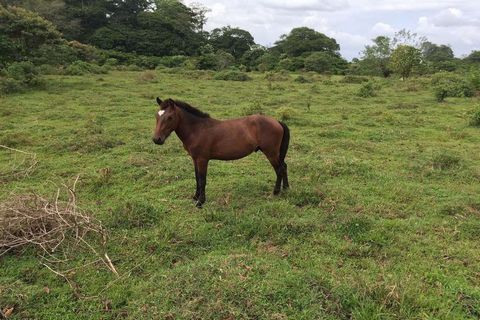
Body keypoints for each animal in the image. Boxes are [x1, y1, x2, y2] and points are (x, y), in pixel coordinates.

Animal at [152, 97, 290, 208]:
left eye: (170, 117)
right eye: (157, 116)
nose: (156, 139)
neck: (197, 129)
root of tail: (277, 122)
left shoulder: (202, 159)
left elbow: (202, 179)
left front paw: (200, 202)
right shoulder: (195, 159)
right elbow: (197, 178)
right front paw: (195, 197)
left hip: (271, 153)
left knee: (279, 169)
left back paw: (276, 192)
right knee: (284, 167)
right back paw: (286, 188)